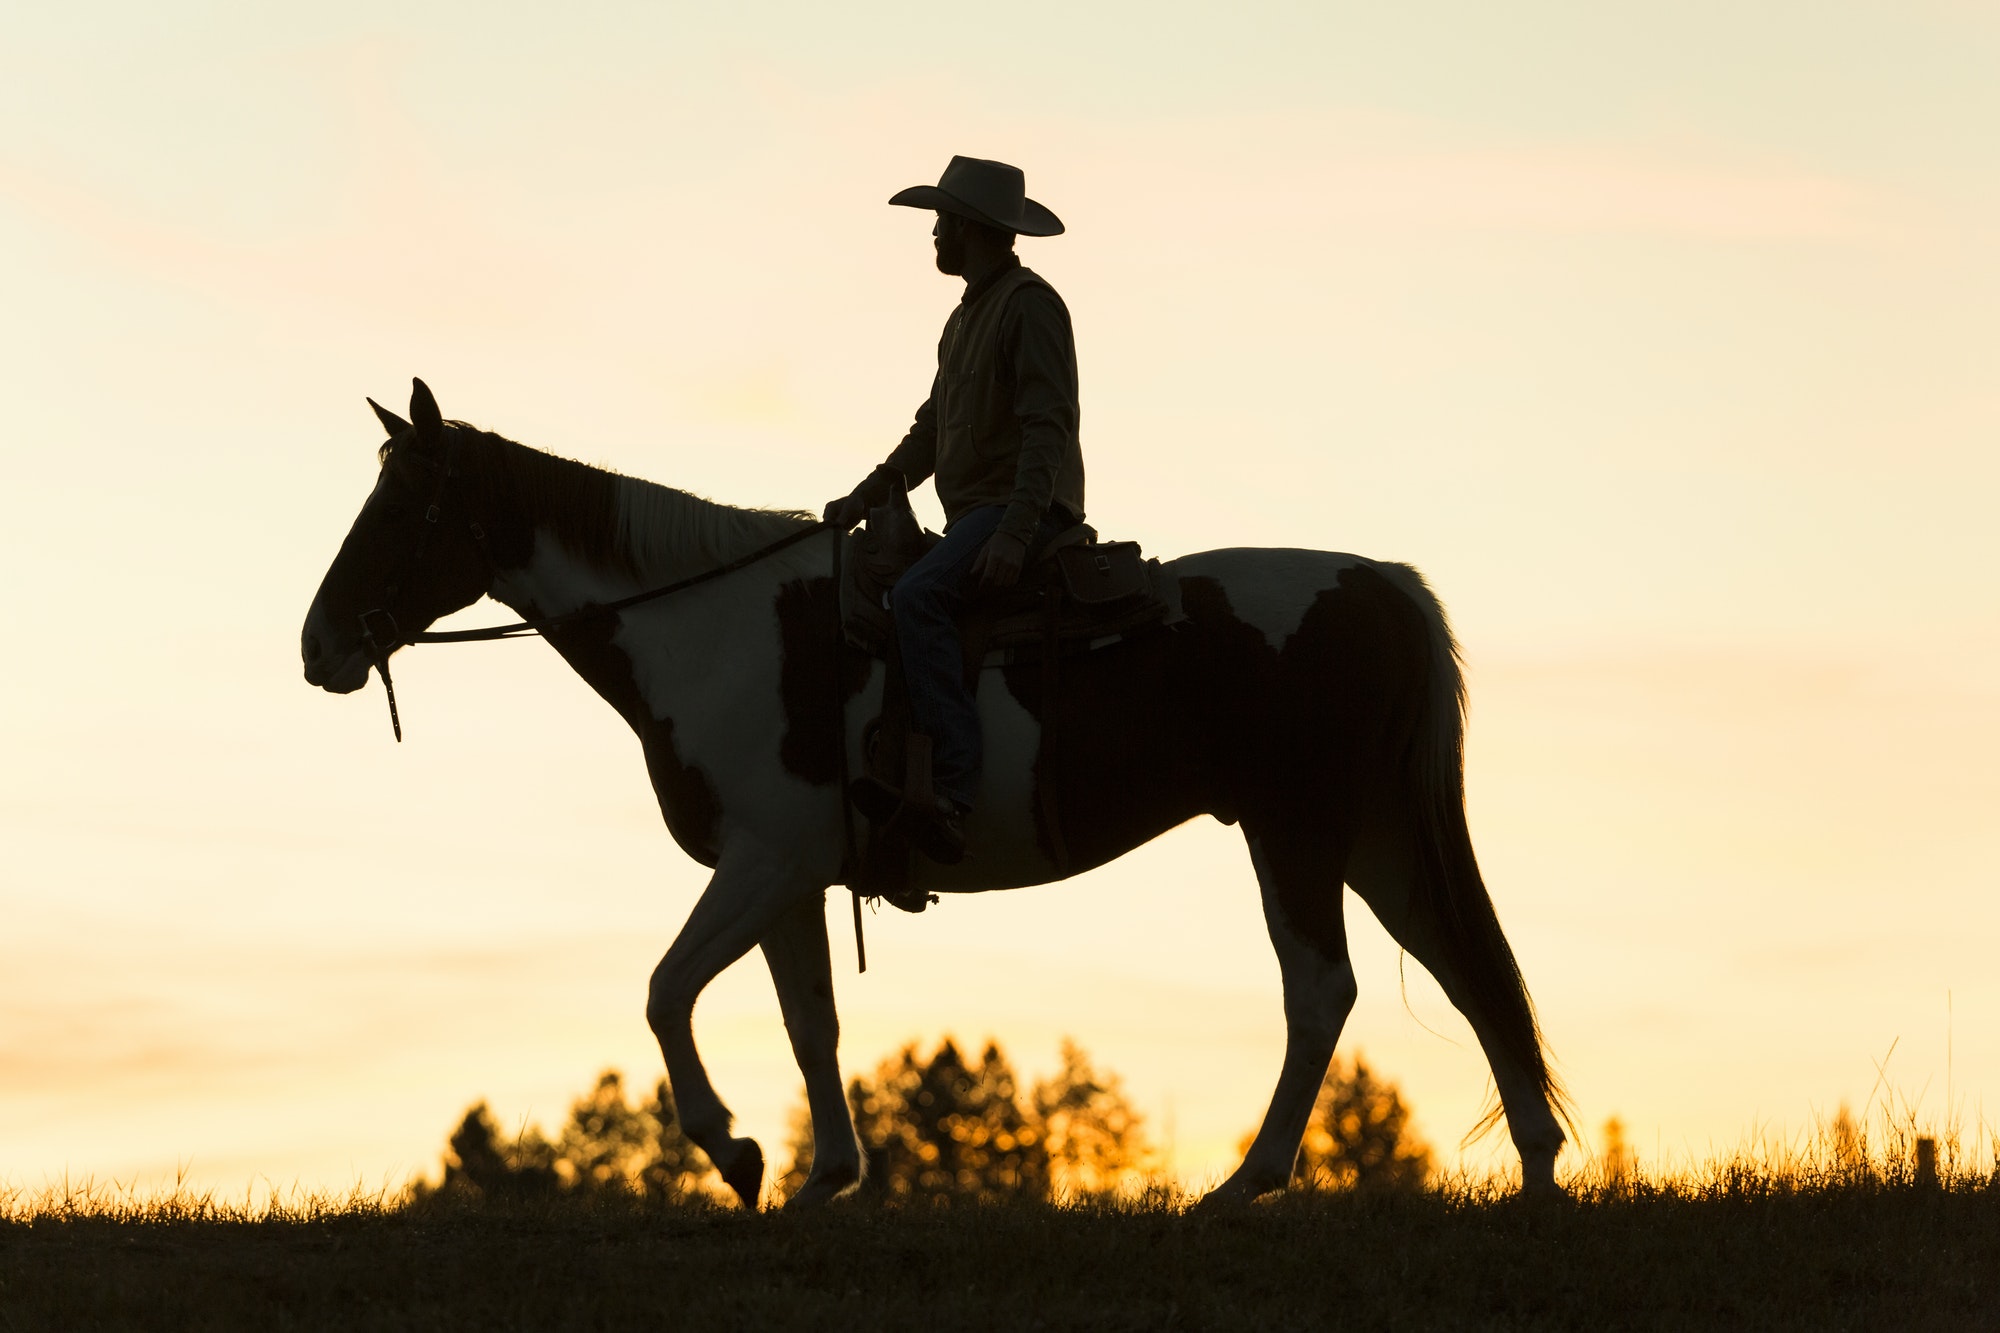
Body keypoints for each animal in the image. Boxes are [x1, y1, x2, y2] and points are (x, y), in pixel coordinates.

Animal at [300, 376, 1576, 1200]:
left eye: (400, 509)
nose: (319, 646)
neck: (707, 632)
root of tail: (1380, 583)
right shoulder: (792, 877)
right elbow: (808, 1019)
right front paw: (824, 1175)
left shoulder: (761, 859)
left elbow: (665, 992)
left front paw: (732, 1151)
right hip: (1374, 835)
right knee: (1469, 970)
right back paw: (1535, 1173)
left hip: (1295, 830)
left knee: (1320, 991)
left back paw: (1243, 1184)